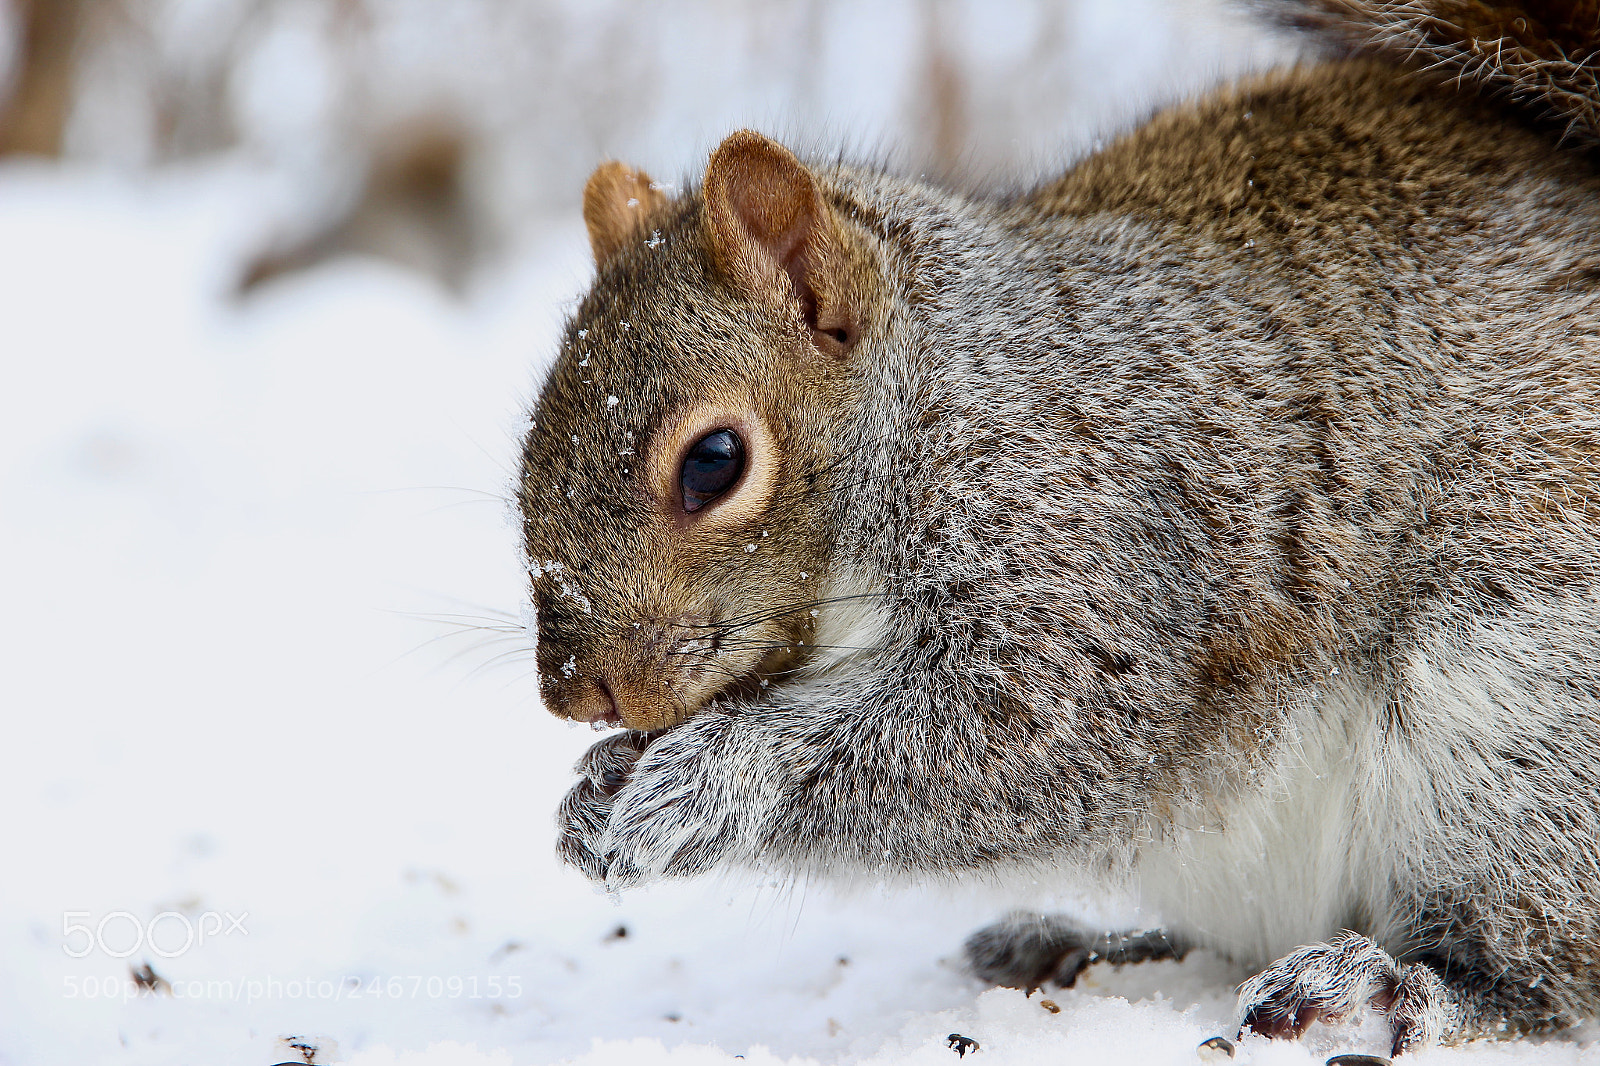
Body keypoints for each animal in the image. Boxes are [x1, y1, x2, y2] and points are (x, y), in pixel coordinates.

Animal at [517, 0, 1600, 1054]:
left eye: (714, 462)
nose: (577, 696)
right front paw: (593, 791)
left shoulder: (1096, 547)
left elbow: (1026, 735)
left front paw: (699, 785)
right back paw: (1086, 940)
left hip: (1510, 739)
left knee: (1539, 970)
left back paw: (1395, 986)